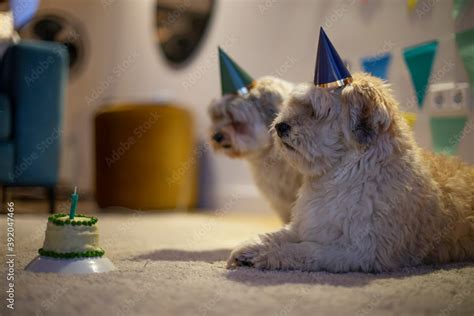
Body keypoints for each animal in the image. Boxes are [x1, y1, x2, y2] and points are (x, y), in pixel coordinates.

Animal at [227, 73, 474, 272]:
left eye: (316, 112)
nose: (280, 126)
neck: (339, 177)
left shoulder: (360, 251)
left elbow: (304, 250)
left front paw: (268, 255)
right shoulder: (305, 225)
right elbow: (276, 235)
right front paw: (250, 247)